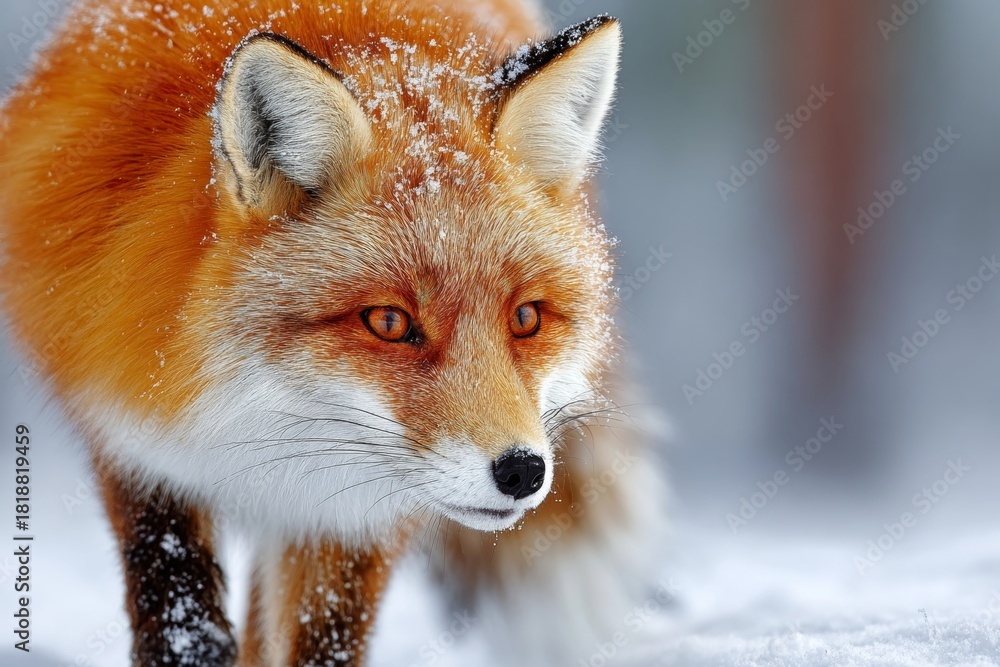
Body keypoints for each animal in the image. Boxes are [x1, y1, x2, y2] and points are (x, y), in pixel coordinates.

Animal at [0, 0, 667, 665]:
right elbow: (177, 613)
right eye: (389, 322)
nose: (523, 472)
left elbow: (325, 637)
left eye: (525, 318)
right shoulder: (135, 443)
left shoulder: (355, 516)